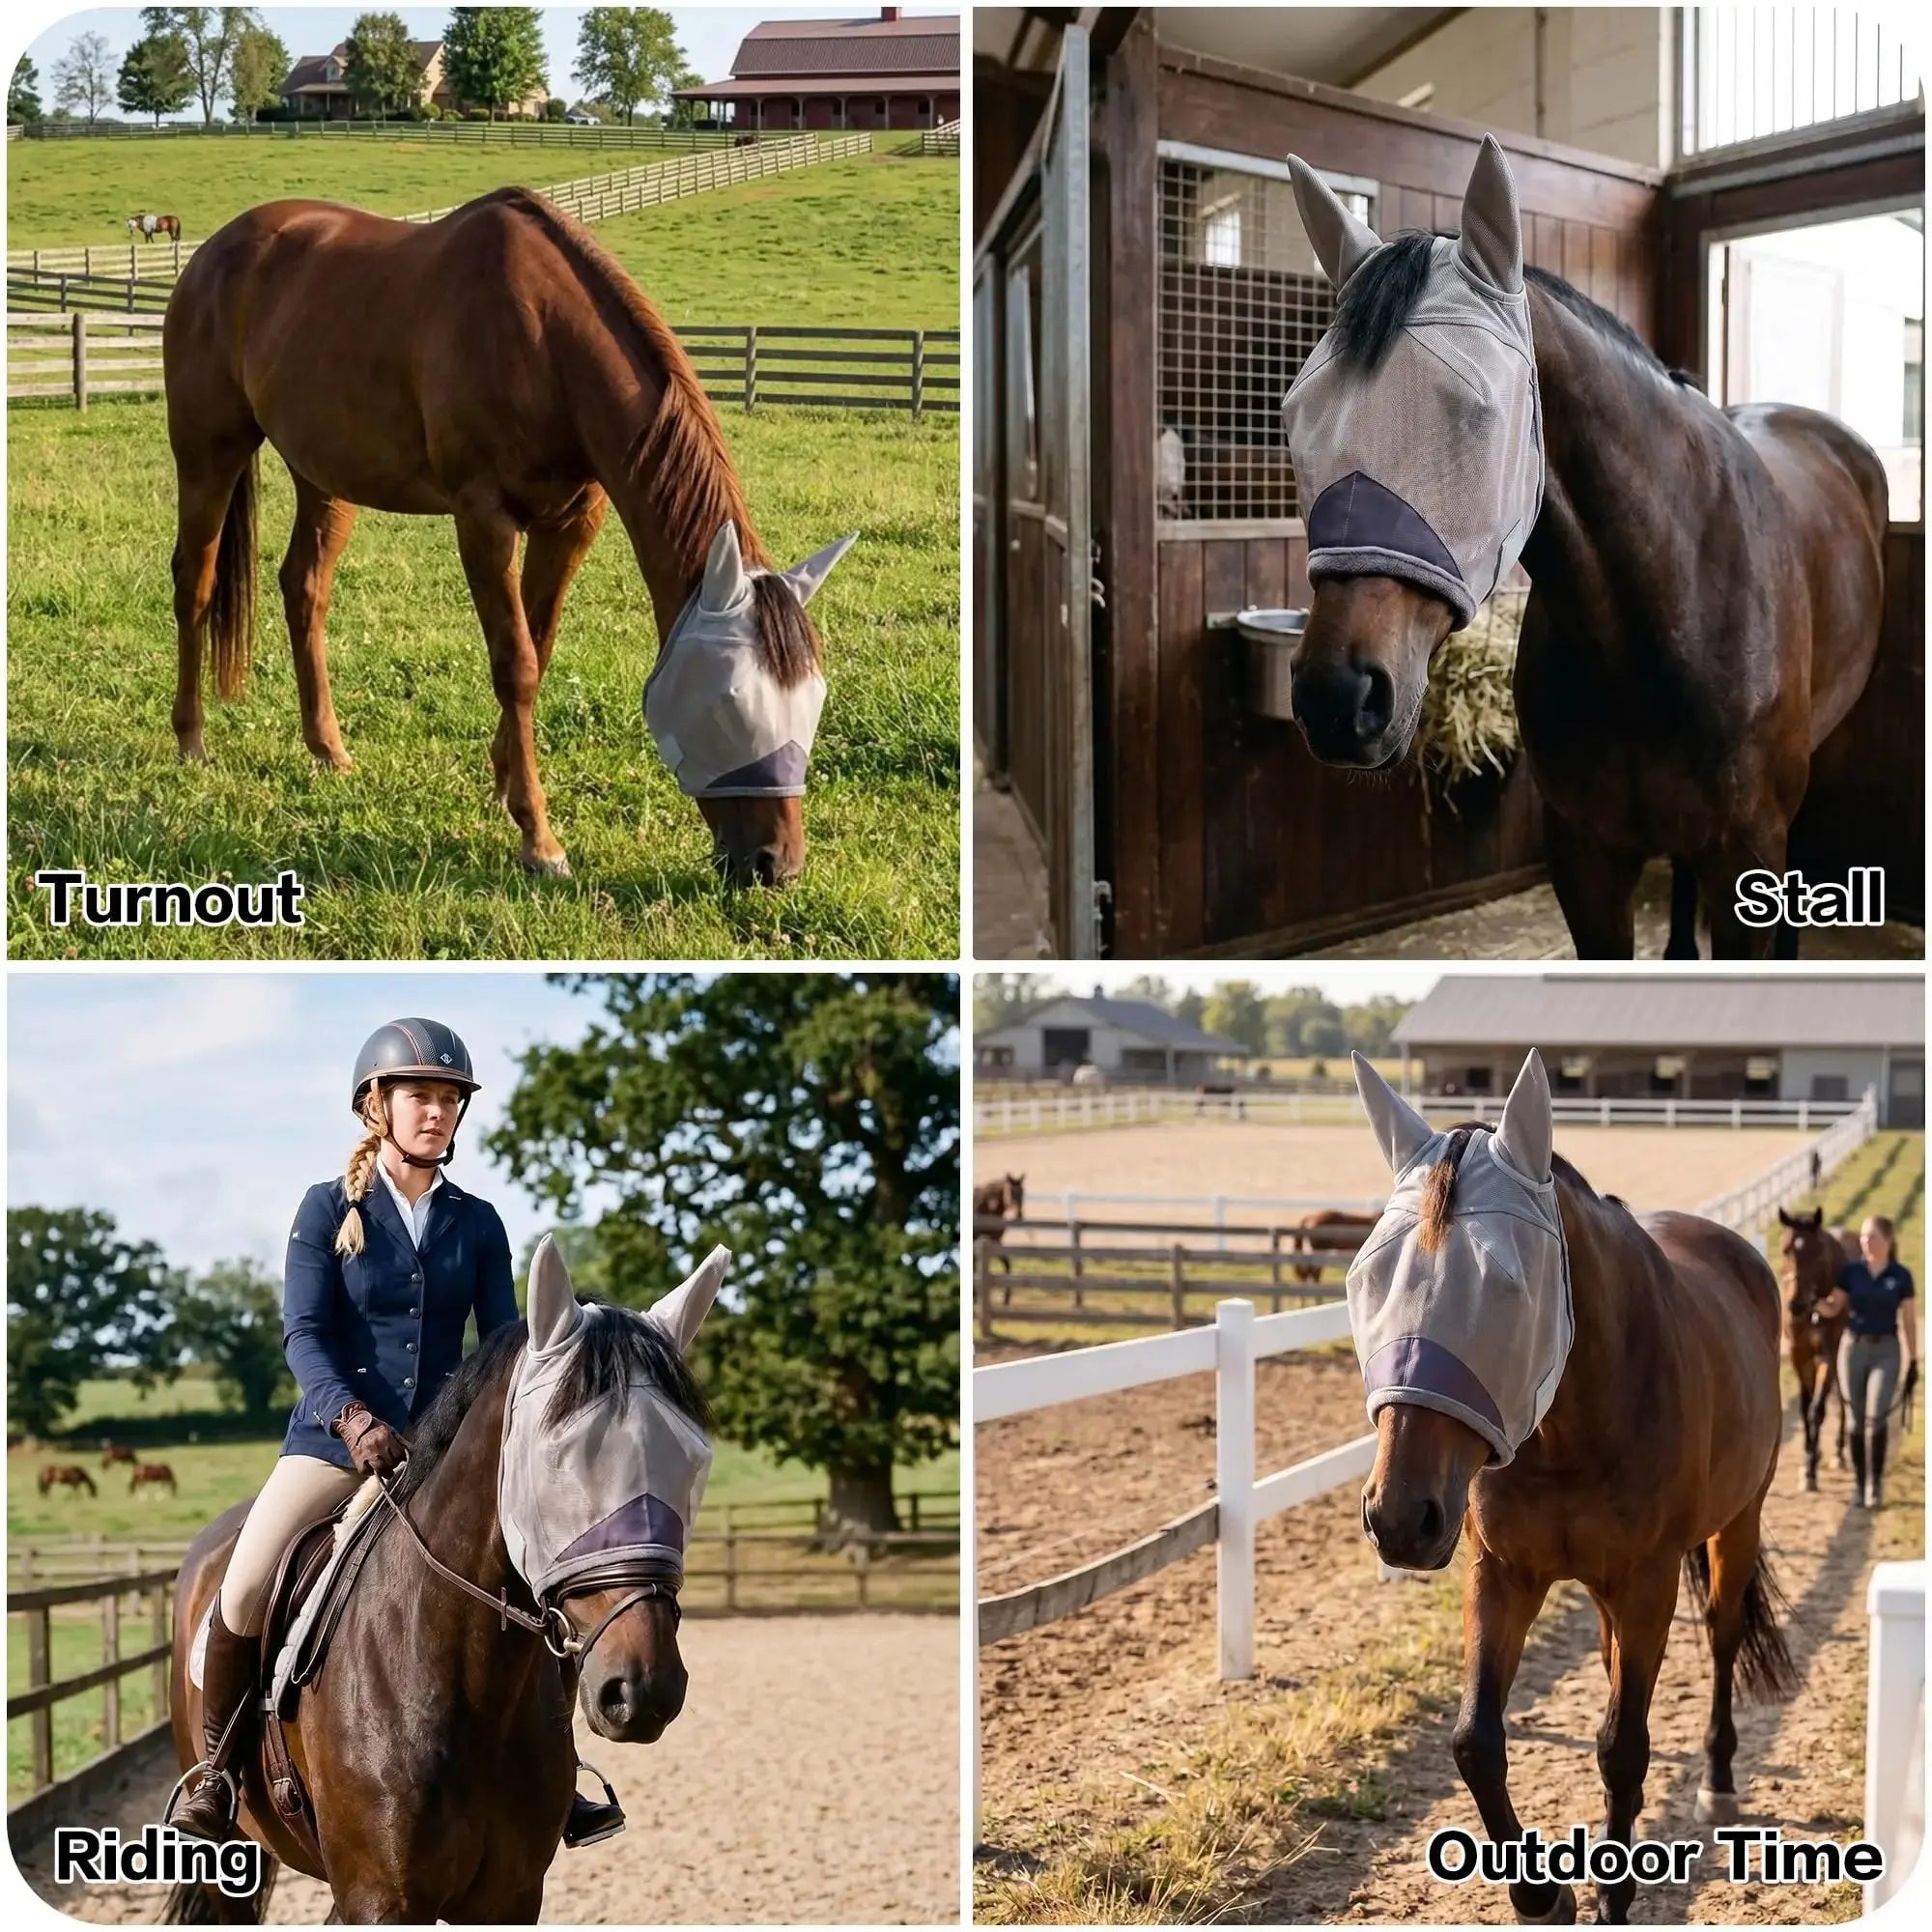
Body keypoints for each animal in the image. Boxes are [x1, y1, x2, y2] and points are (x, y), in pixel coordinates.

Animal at [161, 186, 856, 889]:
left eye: (813, 699)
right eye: (729, 702)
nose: (776, 864)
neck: (545, 342)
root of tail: (213, 253)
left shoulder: (571, 523)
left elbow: (538, 649)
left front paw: (503, 786)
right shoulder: (483, 519)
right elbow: (515, 664)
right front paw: (539, 839)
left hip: (323, 477)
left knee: (304, 588)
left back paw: (329, 750)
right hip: (208, 454)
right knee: (195, 582)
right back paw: (192, 740)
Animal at [1284, 141, 1886, 960]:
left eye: (1478, 412)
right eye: (1296, 416)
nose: (1335, 695)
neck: (1670, 605)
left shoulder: (1747, 853)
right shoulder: (1586, 858)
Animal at [1347, 1051, 1794, 1923]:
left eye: (1508, 1288)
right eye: (1368, 1276)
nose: (1401, 1517)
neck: (1570, 1428)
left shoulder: (1648, 1580)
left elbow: (1624, 1749)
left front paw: (1613, 1898)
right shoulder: (1502, 1574)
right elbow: (1475, 1740)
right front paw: (1539, 1894)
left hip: (1740, 1520)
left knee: (1723, 1633)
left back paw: (1719, 1779)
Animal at [1777, 1205, 1851, 1489]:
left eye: (1817, 1254)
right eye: (1786, 1249)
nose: (1796, 1304)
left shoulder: (1827, 1354)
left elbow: (1816, 1409)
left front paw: (1810, 1469)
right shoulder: (1800, 1354)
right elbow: (1805, 1405)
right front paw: (1809, 1458)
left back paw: (1839, 1451)